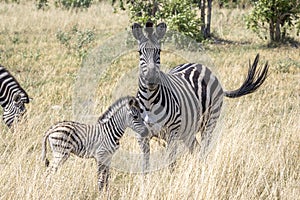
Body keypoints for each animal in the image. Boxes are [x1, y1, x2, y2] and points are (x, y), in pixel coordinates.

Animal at [132, 22, 268, 172]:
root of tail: (203, 67)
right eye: (140, 52)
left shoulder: (172, 133)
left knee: (203, 150)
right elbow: (145, 165)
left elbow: (171, 164)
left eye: (159, 52)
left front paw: (170, 177)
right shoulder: (141, 136)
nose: (151, 80)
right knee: (196, 149)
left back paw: (202, 170)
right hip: (188, 130)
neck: (149, 100)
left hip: (210, 121)